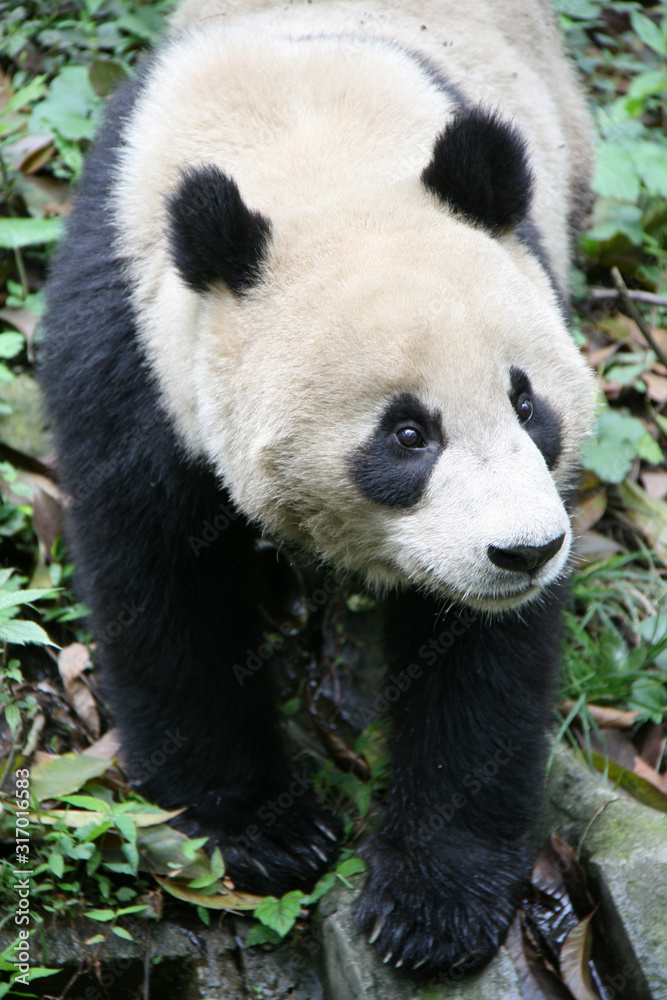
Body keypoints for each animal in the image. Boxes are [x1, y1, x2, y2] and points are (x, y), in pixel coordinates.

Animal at [41, 0, 595, 977]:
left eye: (526, 402)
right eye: (407, 435)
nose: (523, 551)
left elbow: (481, 659)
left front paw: (431, 904)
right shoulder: (128, 345)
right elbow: (165, 589)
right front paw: (263, 832)